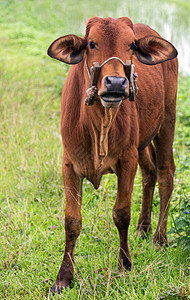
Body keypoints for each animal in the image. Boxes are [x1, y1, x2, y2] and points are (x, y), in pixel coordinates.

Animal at [47, 16, 178, 292]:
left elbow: (121, 214)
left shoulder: (127, 161)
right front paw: (63, 277)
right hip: (143, 142)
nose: (116, 83)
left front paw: (125, 265)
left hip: (167, 122)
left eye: (131, 45)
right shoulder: (68, 164)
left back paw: (159, 238)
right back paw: (143, 228)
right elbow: (71, 221)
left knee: (165, 174)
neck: (99, 123)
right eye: (92, 43)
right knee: (150, 172)